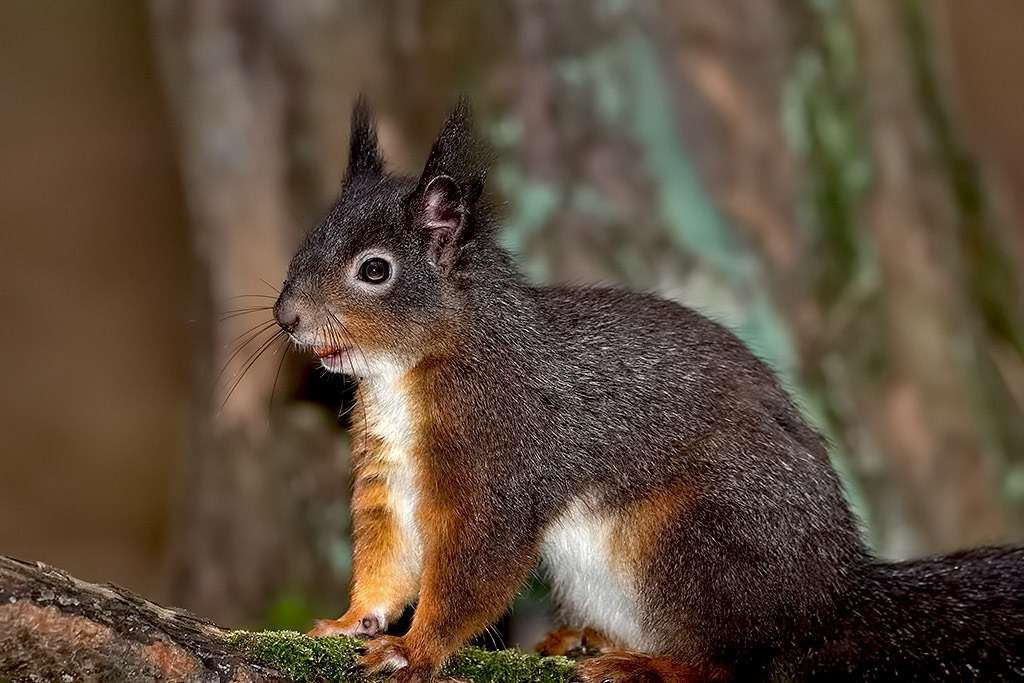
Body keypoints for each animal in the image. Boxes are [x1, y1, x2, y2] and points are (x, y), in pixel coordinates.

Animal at [273, 98, 1024, 682]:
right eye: (306, 242)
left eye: (375, 270)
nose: (287, 317)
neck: (405, 373)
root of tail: (830, 597)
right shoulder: (389, 472)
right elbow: (388, 555)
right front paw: (350, 622)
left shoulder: (501, 461)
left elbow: (473, 570)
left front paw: (416, 649)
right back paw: (586, 637)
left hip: (693, 544)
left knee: (732, 661)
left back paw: (643, 663)